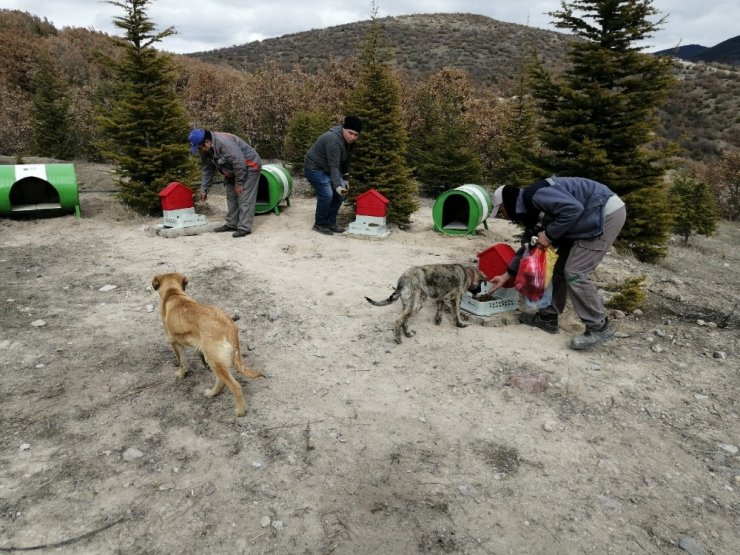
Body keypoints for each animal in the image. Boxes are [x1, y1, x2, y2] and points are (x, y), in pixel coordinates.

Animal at [150, 274, 264, 416]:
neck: (173, 293)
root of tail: (229, 327)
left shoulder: (174, 342)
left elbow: (182, 361)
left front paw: (181, 374)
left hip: (215, 360)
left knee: (235, 386)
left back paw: (240, 411)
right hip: (215, 360)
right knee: (221, 380)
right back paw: (212, 393)